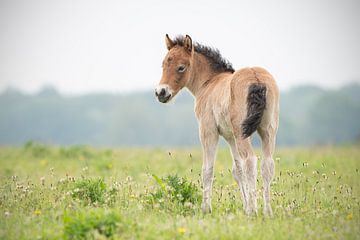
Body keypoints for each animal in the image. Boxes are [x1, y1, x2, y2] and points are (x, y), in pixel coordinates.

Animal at [155, 34, 278, 216]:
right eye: (163, 64)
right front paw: (245, 205)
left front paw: (206, 209)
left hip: (243, 133)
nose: (161, 92)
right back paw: (267, 211)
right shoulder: (230, 136)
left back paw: (253, 211)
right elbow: (237, 170)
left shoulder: (208, 131)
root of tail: (256, 78)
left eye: (181, 68)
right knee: (267, 165)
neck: (209, 82)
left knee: (250, 161)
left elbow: (208, 169)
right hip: (268, 131)